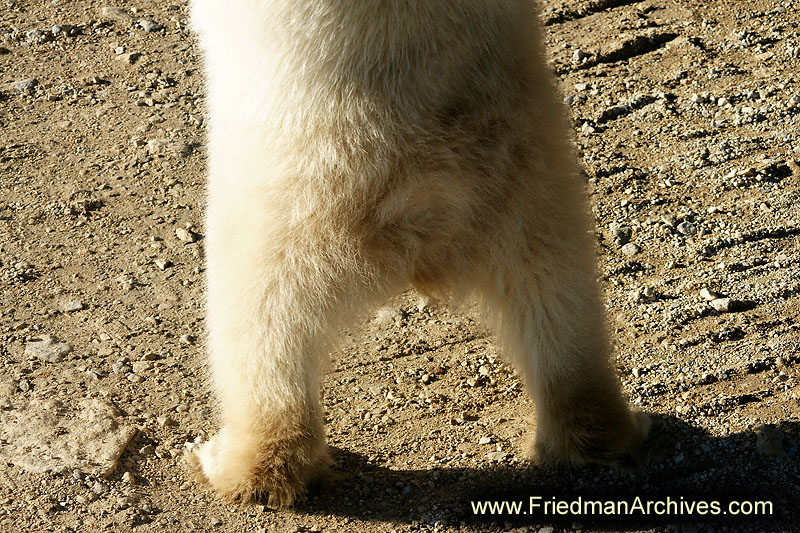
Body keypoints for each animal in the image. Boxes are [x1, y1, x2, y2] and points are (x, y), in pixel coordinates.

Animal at [189, 0, 648, 508]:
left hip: (285, 205)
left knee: (262, 330)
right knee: (561, 301)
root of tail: (426, 186)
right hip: (533, 187)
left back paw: (234, 466)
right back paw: (599, 434)